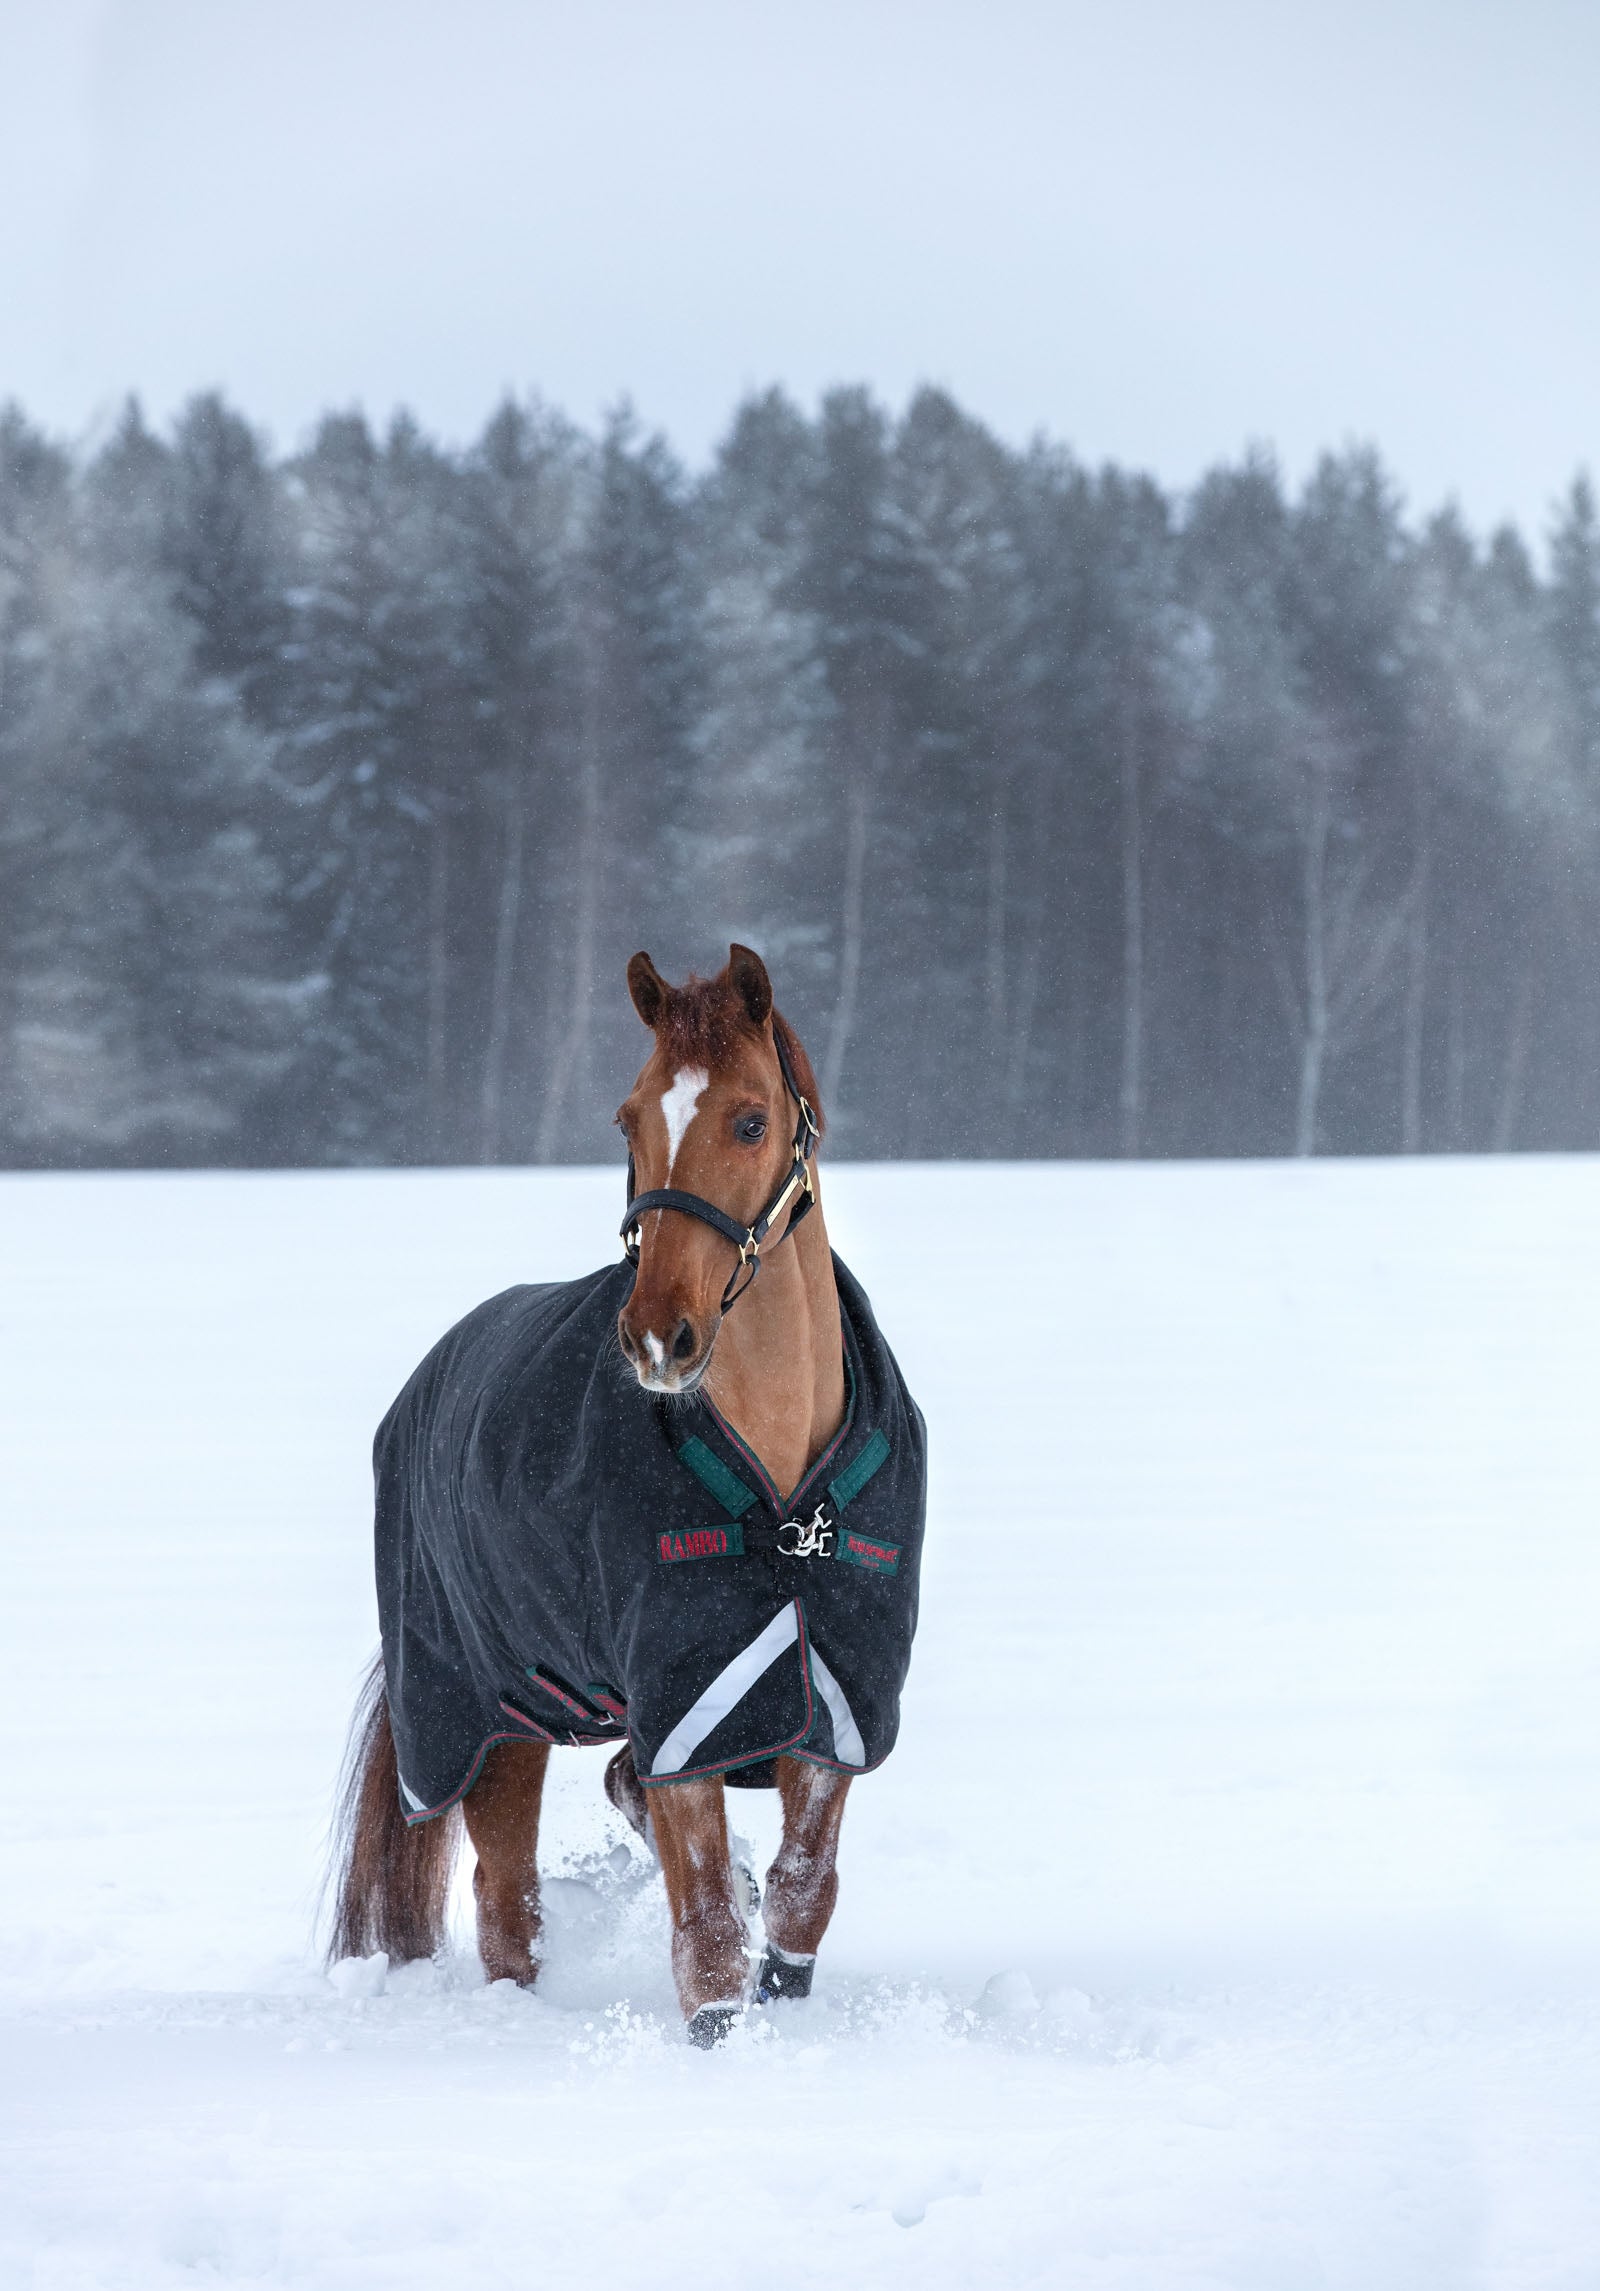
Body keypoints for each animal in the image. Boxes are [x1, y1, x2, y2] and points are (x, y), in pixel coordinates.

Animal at [327, 944, 925, 2044]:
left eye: (750, 1119)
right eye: (628, 1117)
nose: (657, 1335)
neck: (784, 1508)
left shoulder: (833, 1700)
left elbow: (799, 1895)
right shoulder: (683, 1702)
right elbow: (708, 1930)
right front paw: (722, 2036)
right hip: (492, 1721)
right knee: (506, 1905)